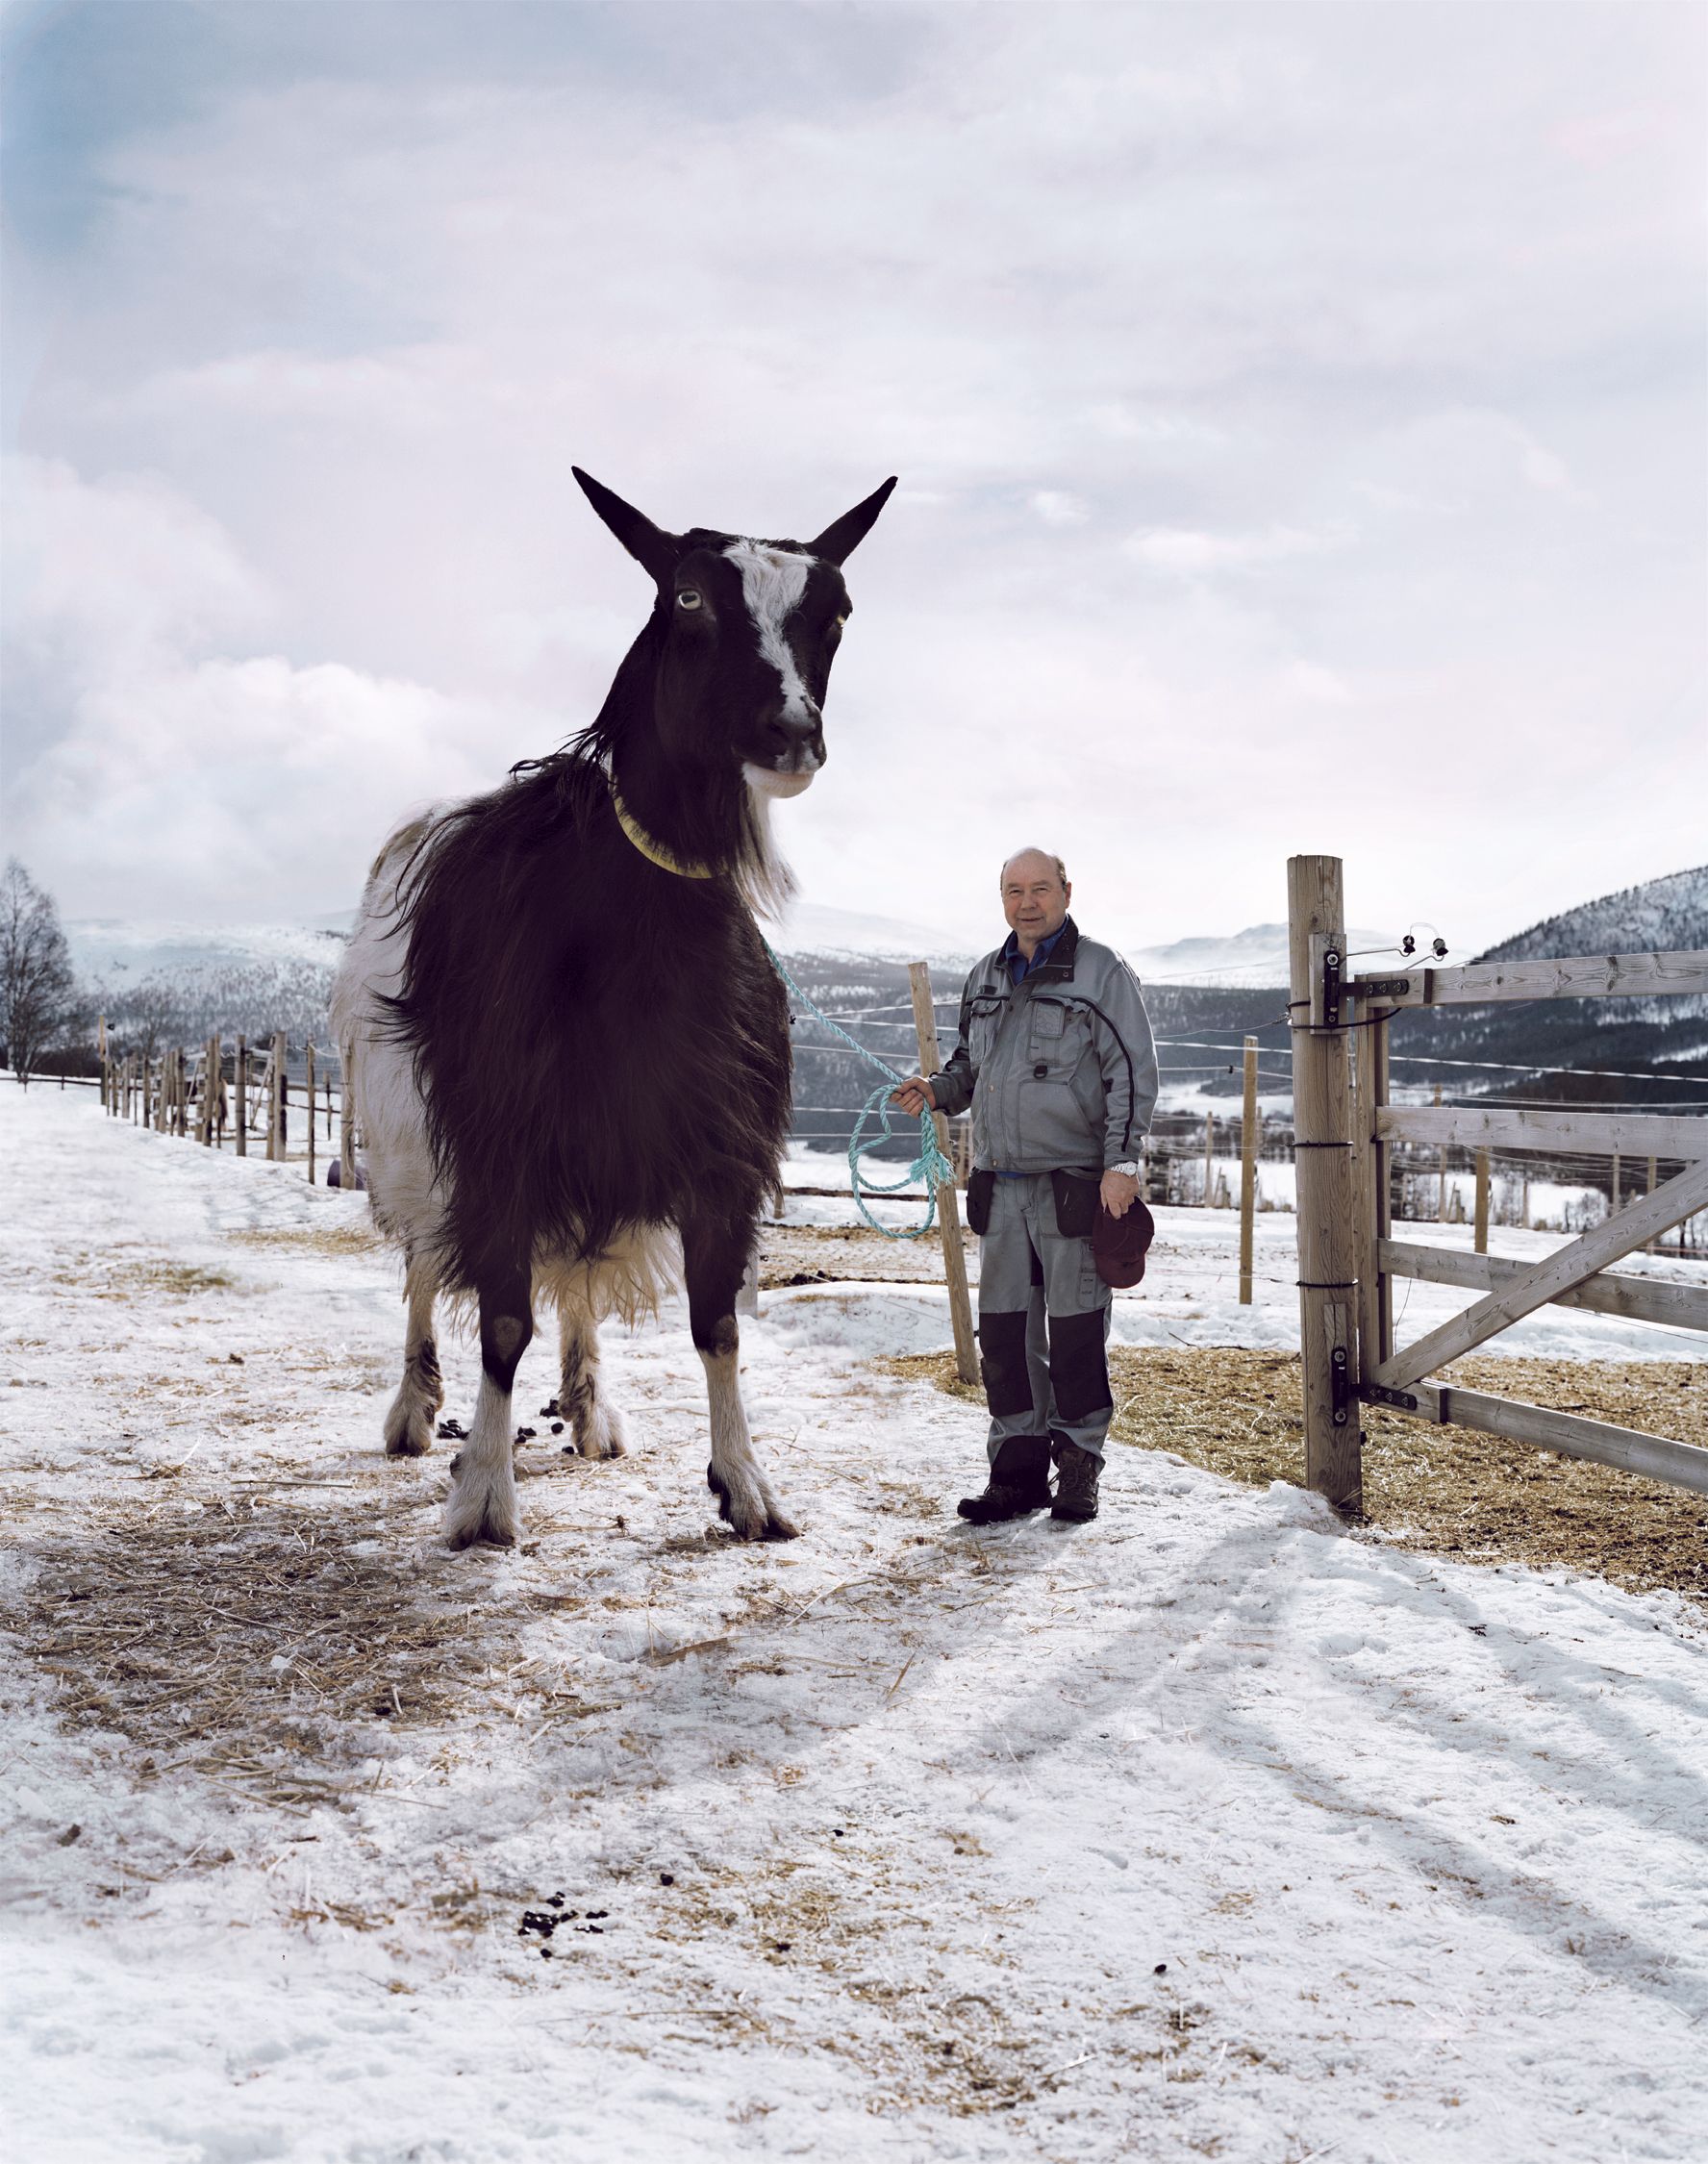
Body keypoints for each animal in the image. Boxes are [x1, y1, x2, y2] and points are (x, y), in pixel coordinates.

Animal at [331, 468, 896, 1548]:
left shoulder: (718, 1150)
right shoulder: (497, 1139)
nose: (791, 734)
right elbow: (503, 1318)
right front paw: (483, 1497)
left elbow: (717, 1322)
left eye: (838, 610)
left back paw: (589, 1406)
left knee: (577, 1276)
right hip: (408, 1139)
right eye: (688, 597)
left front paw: (745, 1485)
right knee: (424, 1268)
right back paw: (416, 1413)